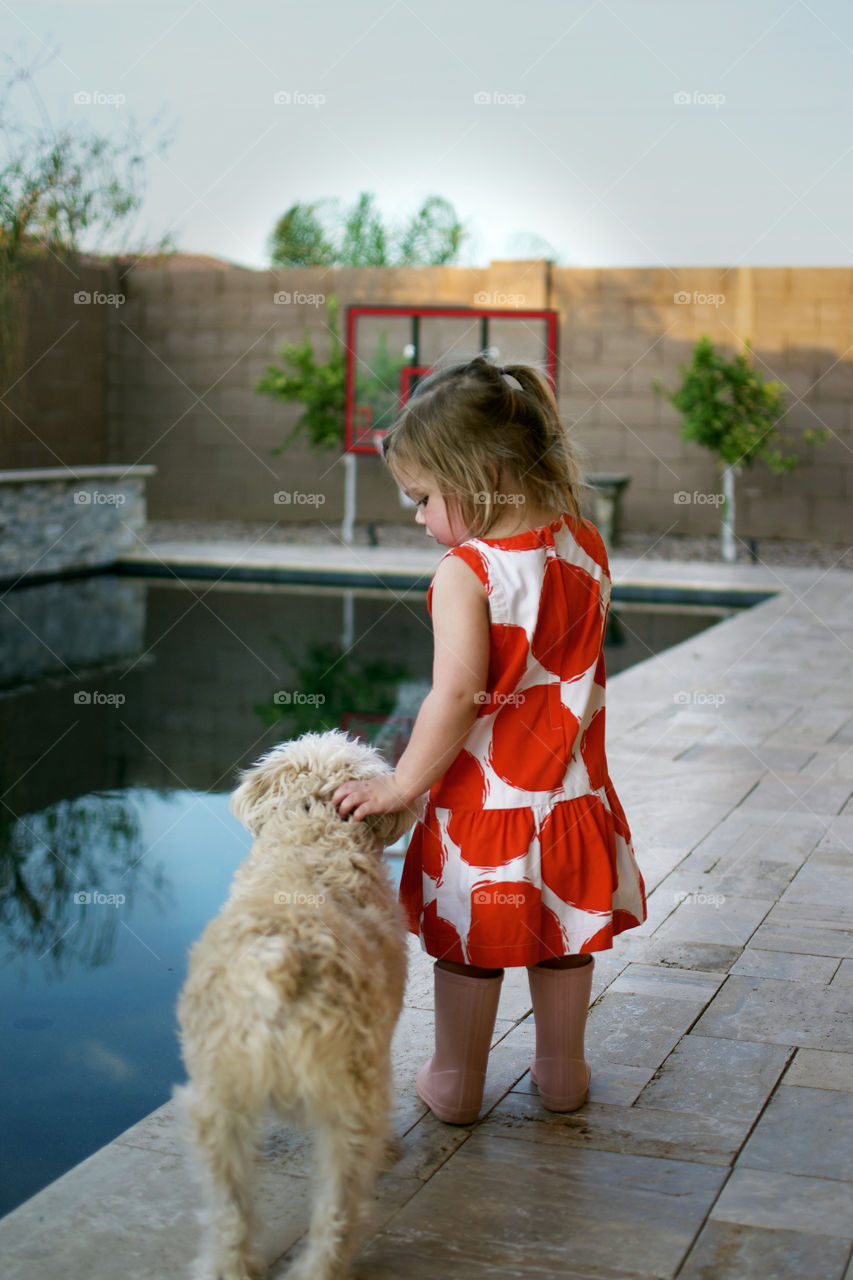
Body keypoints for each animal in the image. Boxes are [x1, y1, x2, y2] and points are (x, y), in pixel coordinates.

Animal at [174, 732, 409, 1280]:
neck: (312, 826)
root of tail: (281, 960)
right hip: (348, 1107)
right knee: (338, 1209)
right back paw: (320, 1267)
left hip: (217, 1102)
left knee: (230, 1209)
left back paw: (230, 1266)